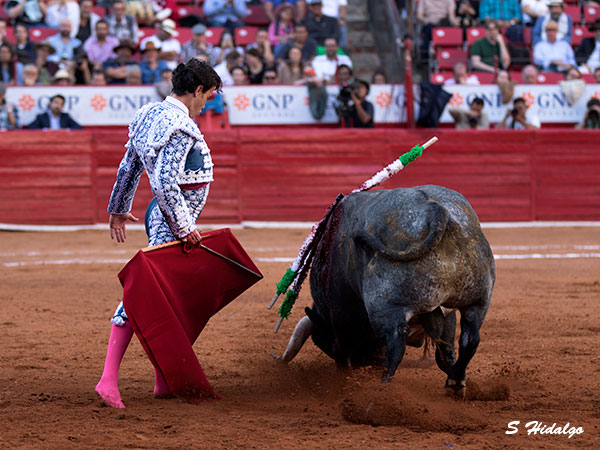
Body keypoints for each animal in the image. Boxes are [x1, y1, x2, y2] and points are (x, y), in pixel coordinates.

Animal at [276, 184, 496, 398]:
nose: (367, 363)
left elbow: (342, 351)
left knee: (396, 343)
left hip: (385, 306)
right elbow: (446, 350)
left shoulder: (342, 314)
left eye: (322, 341)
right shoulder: (442, 311)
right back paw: (456, 382)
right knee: (470, 338)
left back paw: (383, 391)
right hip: (478, 299)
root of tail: (435, 210)